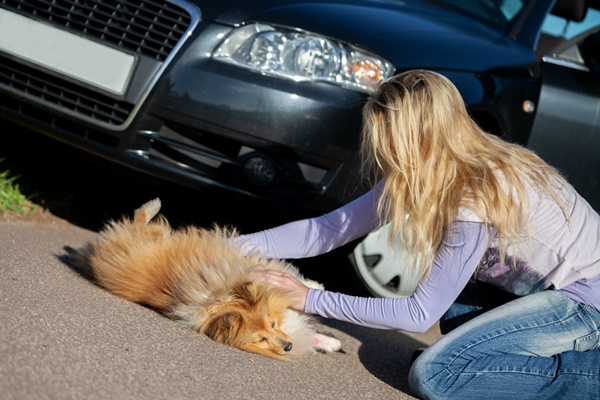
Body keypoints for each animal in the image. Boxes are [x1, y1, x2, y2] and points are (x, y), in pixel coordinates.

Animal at [74, 199, 342, 360]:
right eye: (261, 339)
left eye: (273, 324)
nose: (287, 347)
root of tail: (96, 253)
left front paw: (328, 339)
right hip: (149, 235)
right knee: (138, 218)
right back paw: (152, 206)